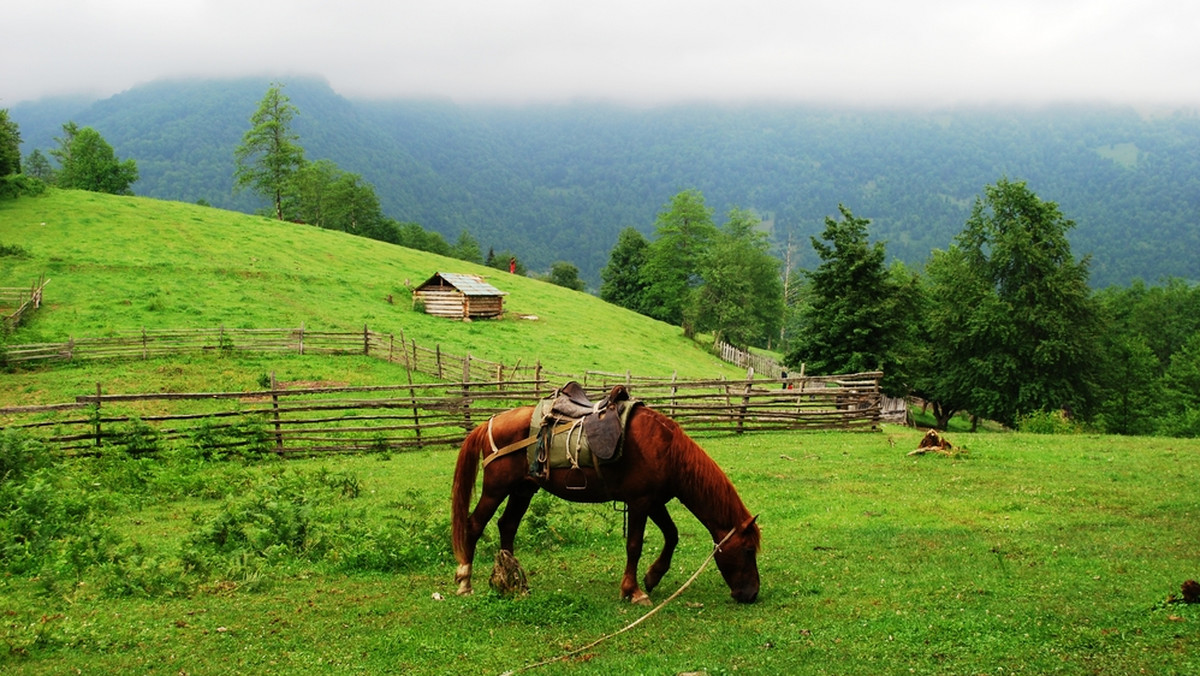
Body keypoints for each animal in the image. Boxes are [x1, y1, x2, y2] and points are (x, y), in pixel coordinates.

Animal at [451, 398, 758, 605]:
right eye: (747, 550)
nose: (751, 594)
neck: (668, 450)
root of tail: (489, 423)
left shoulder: (654, 501)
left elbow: (672, 535)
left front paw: (652, 576)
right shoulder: (640, 502)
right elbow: (634, 545)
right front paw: (633, 591)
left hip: (523, 490)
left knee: (508, 525)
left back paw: (517, 581)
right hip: (496, 489)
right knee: (474, 524)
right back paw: (465, 581)